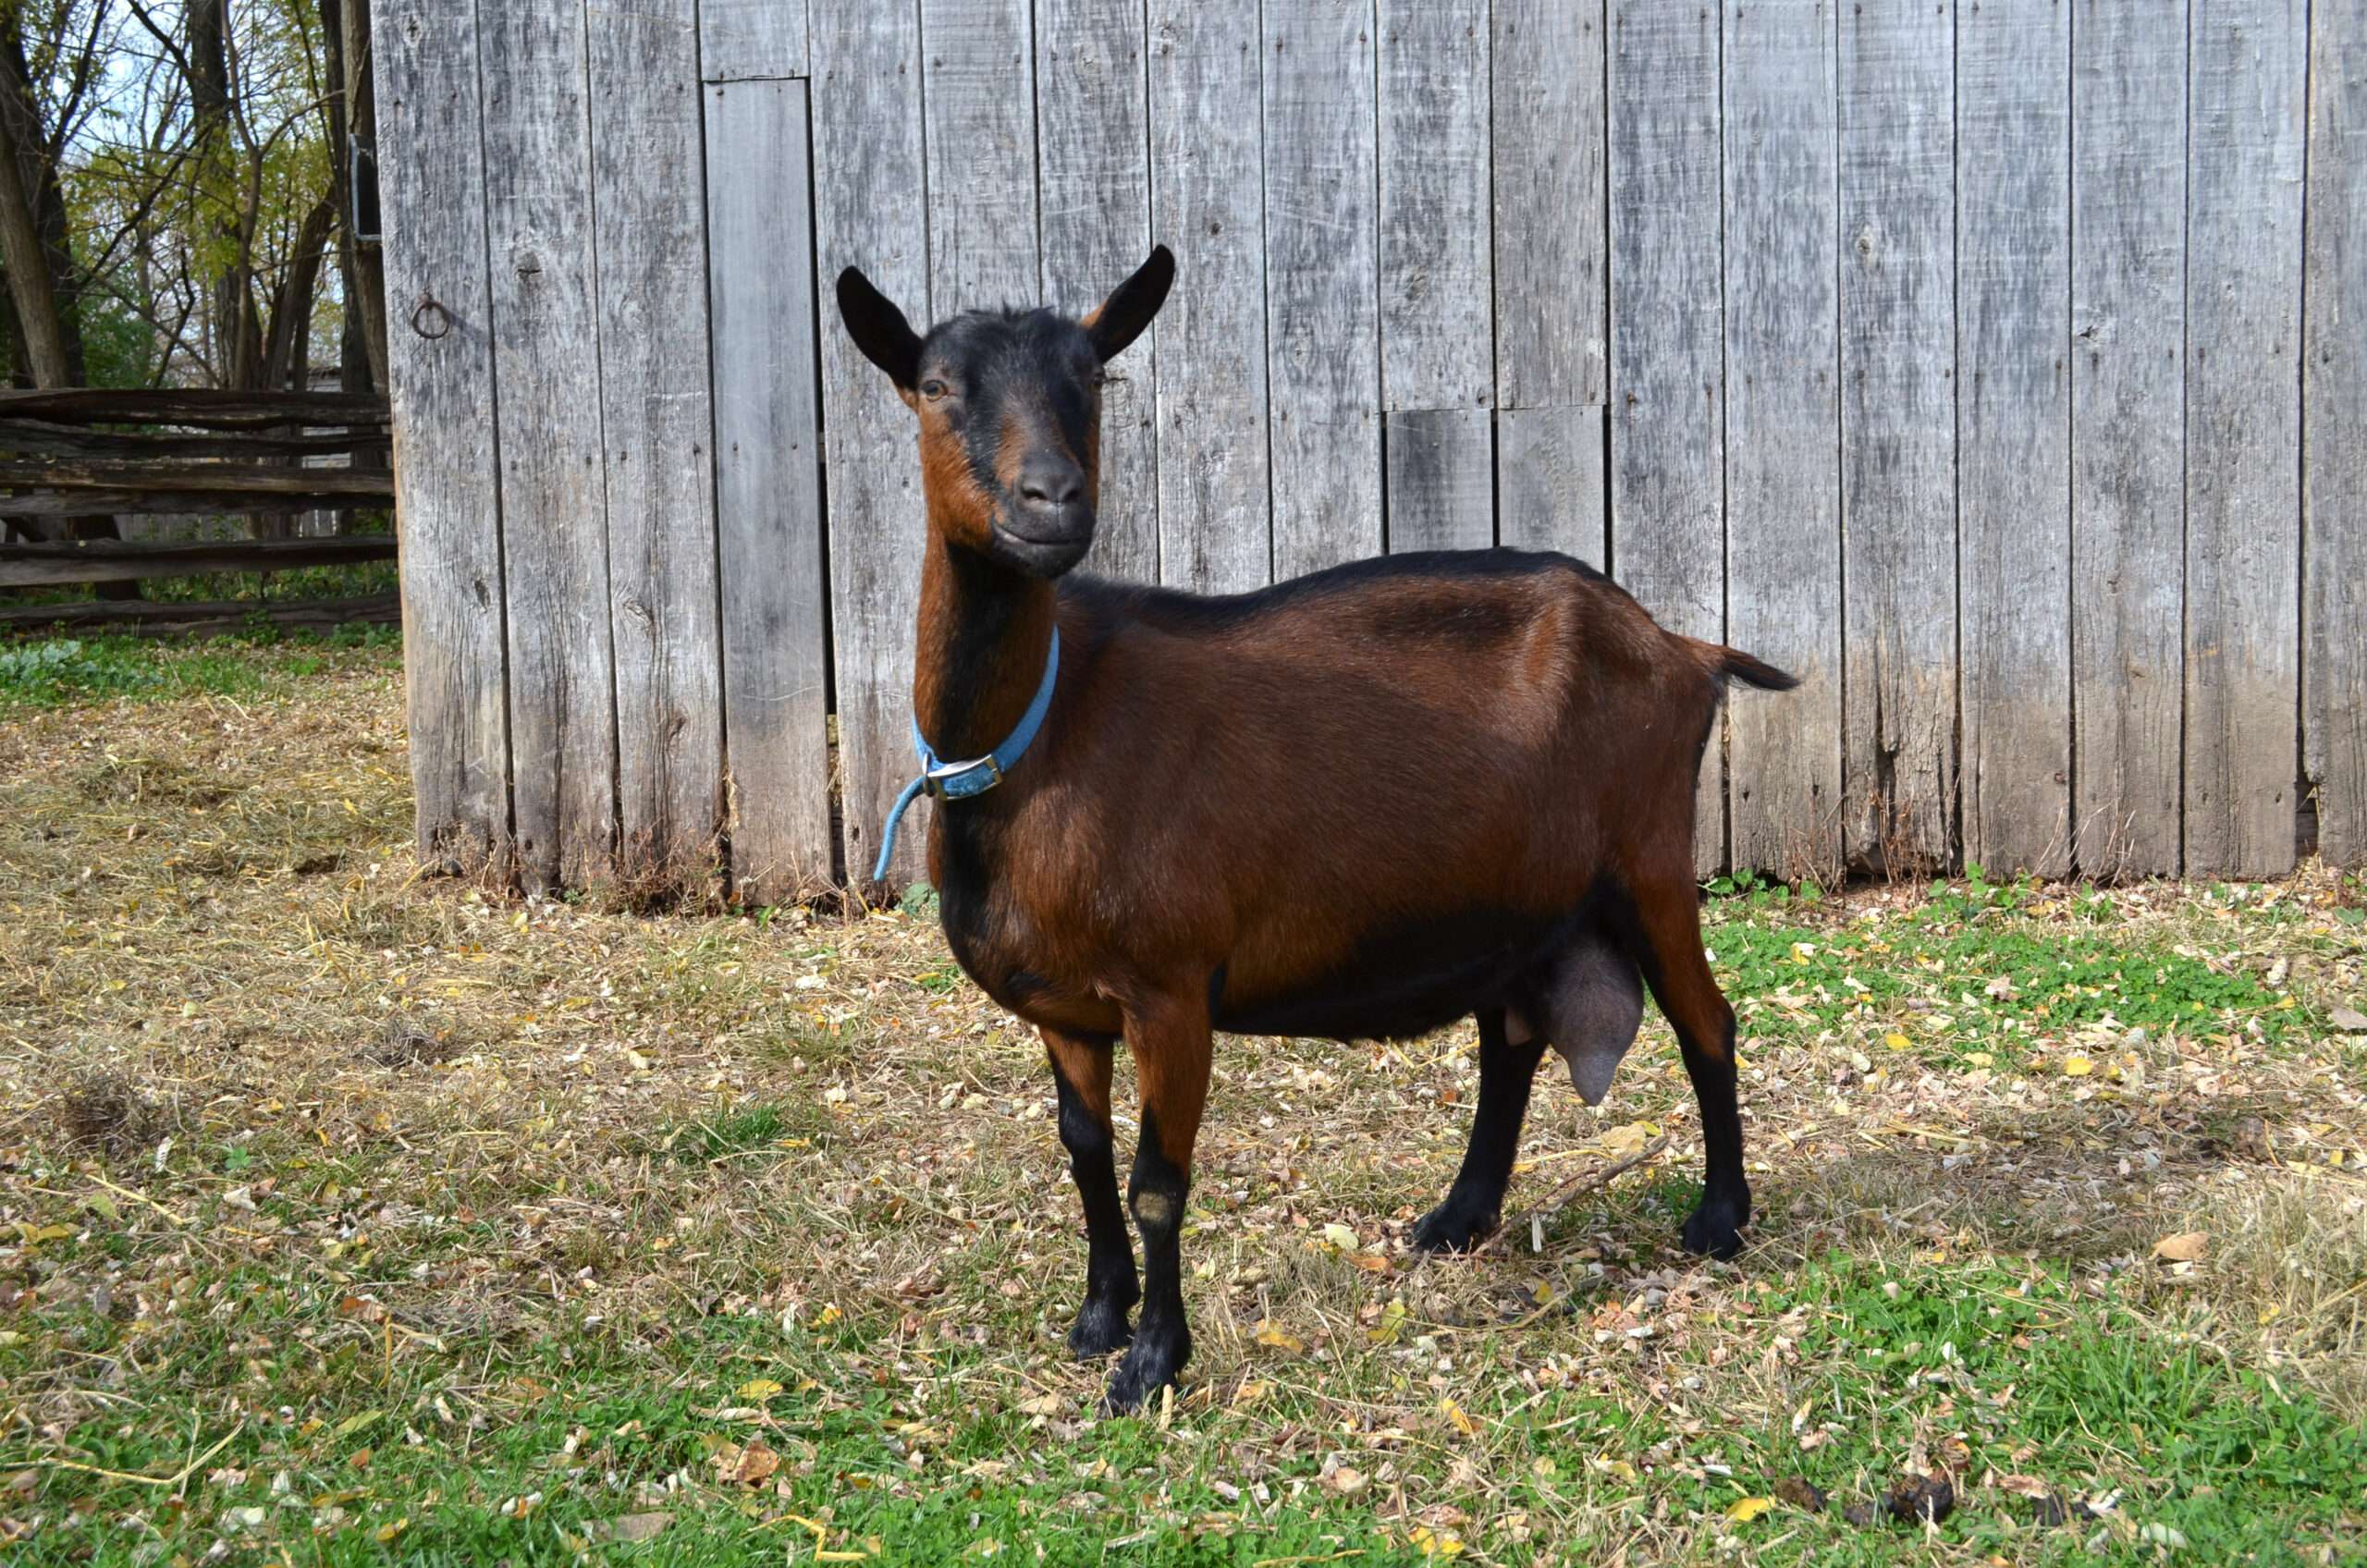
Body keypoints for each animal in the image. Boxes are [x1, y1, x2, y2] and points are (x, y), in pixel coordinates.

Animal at [834, 247, 1798, 1413]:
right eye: (936, 385)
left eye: (1093, 377)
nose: (1053, 500)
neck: (1042, 734)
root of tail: (1682, 648)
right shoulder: (1065, 1009)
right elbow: (1081, 1153)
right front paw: (1097, 1319)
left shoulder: (1170, 988)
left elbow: (1156, 1182)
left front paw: (1152, 1364)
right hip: (1514, 901)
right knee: (1511, 1043)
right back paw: (1456, 1218)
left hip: (1650, 858)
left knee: (1708, 1026)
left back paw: (1718, 1220)